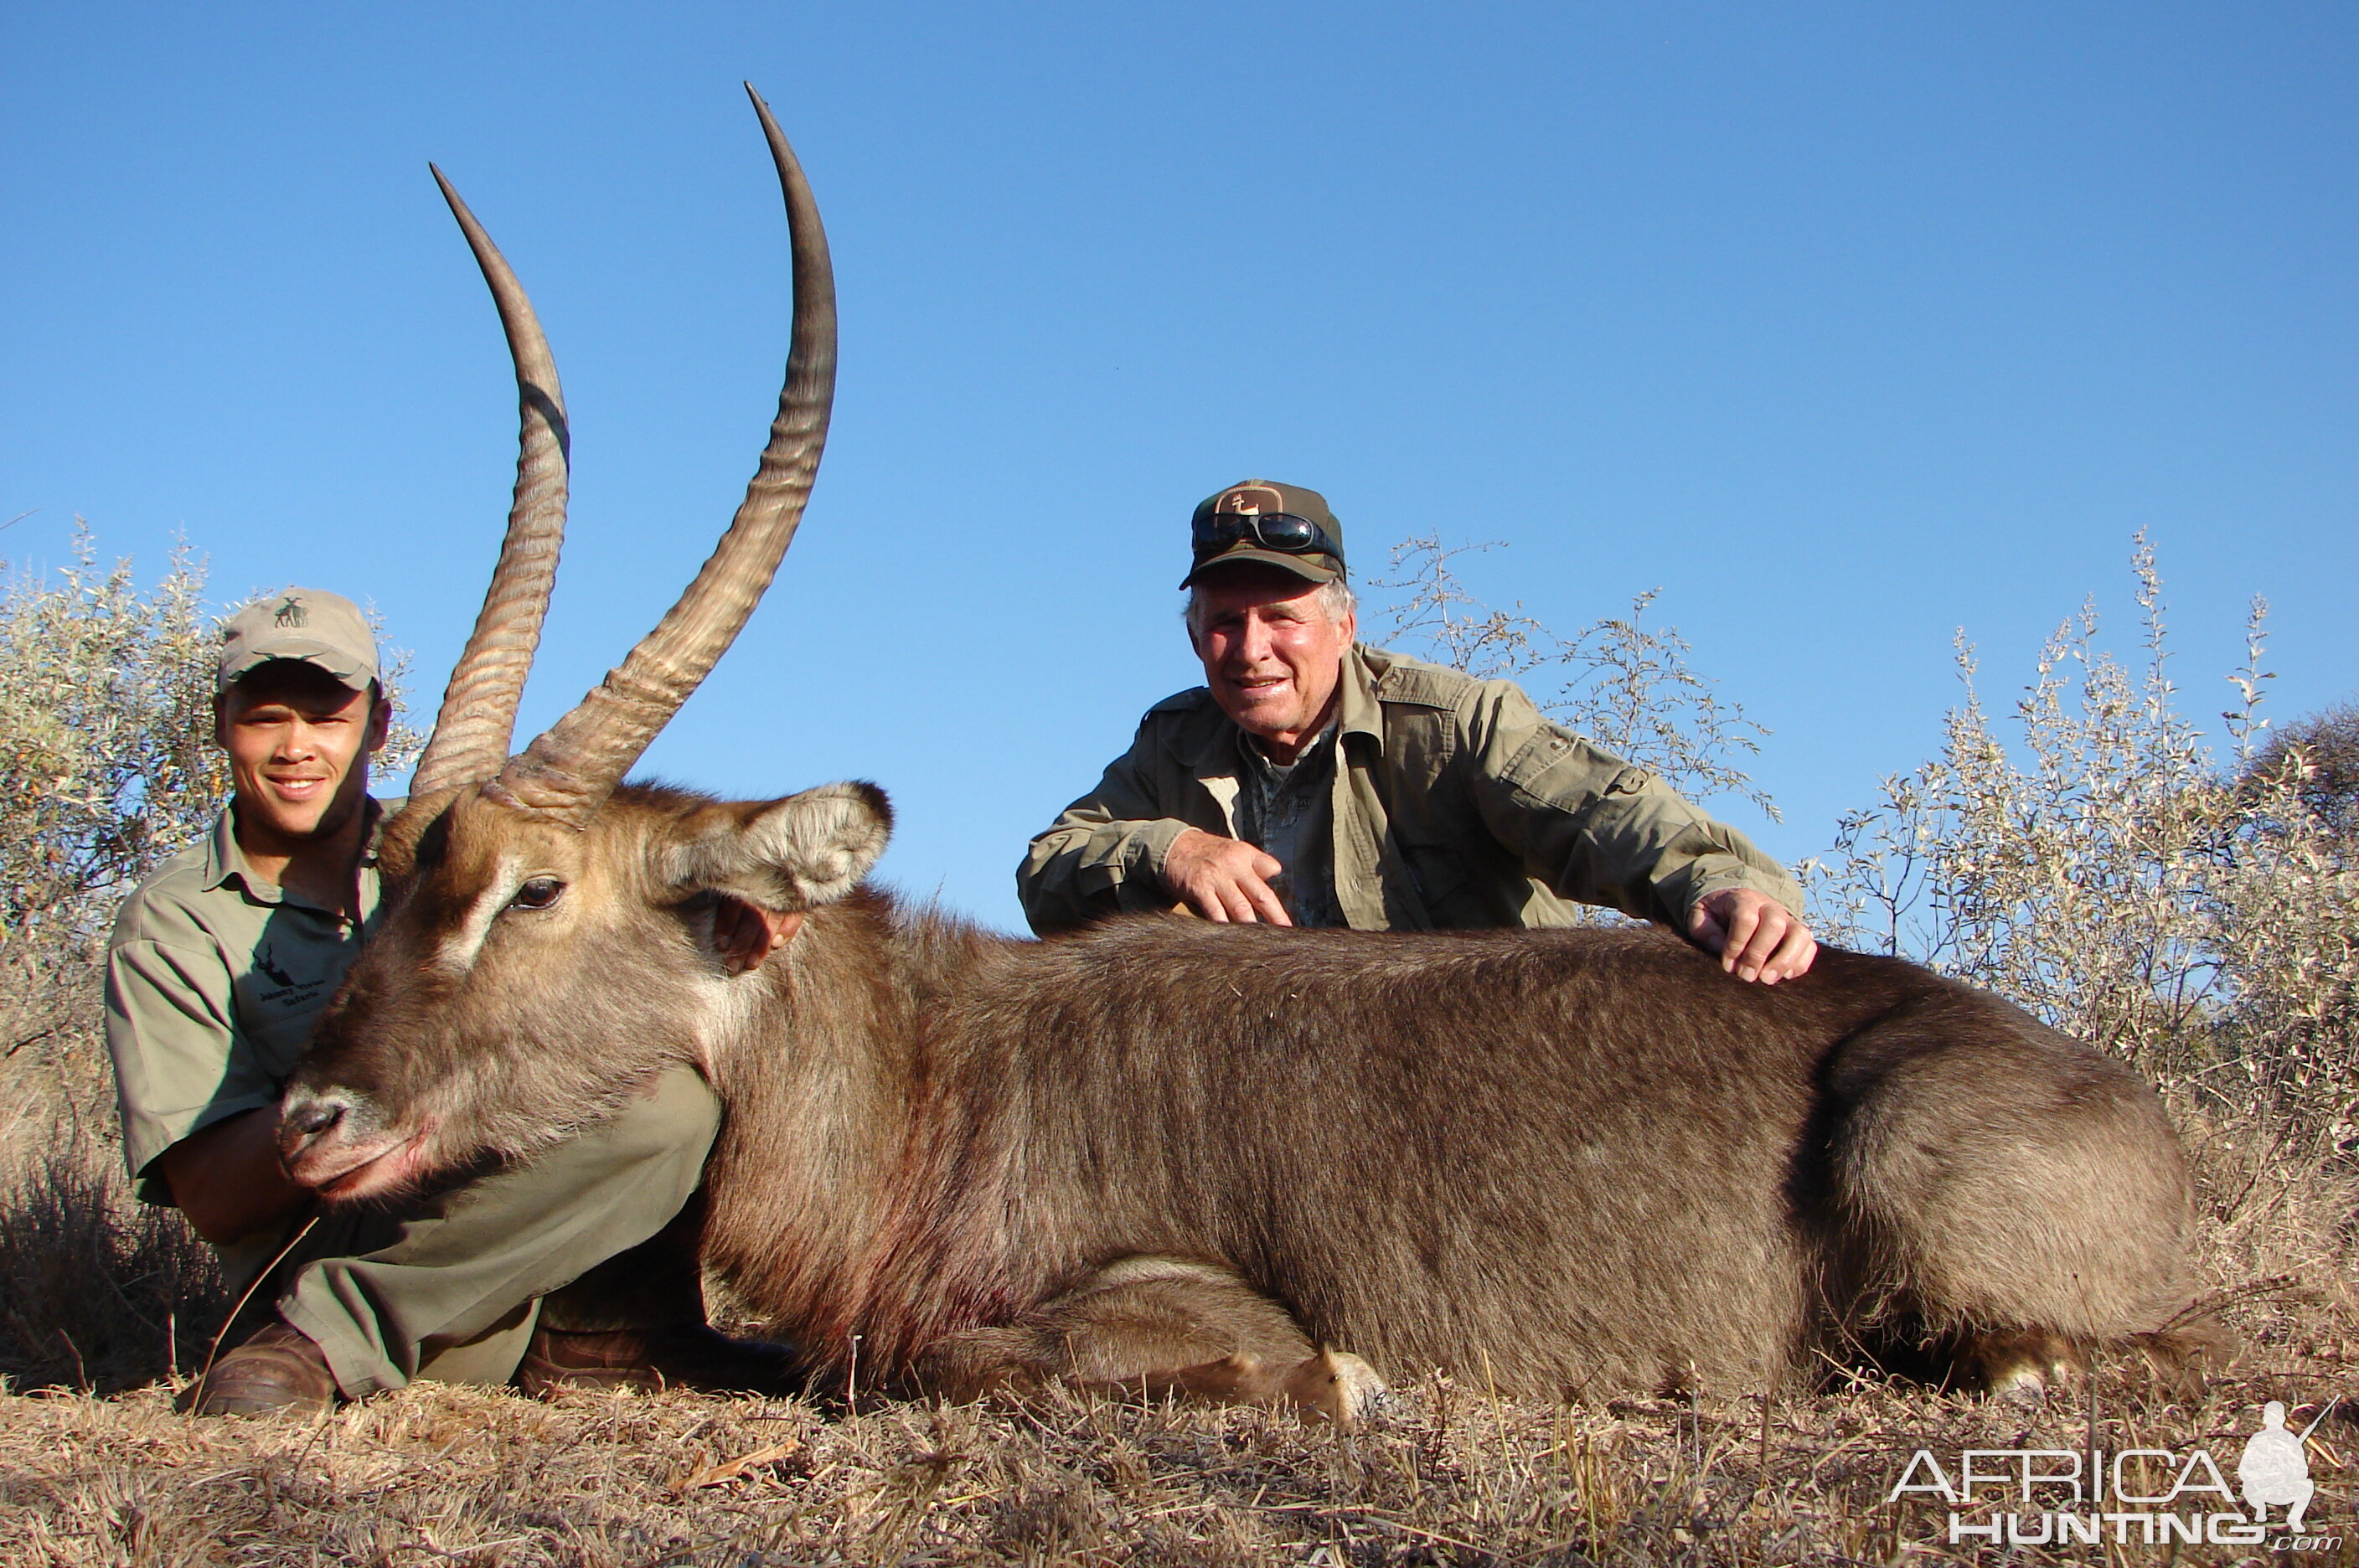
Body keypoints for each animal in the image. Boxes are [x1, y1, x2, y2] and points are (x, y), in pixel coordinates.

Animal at [281, 91, 2207, 1424]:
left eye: (531, 889)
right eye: (393, 872)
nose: (310, 1117)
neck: (927, 1071)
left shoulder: (1152, 1292)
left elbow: (989, 1360)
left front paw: (1348, 1384)